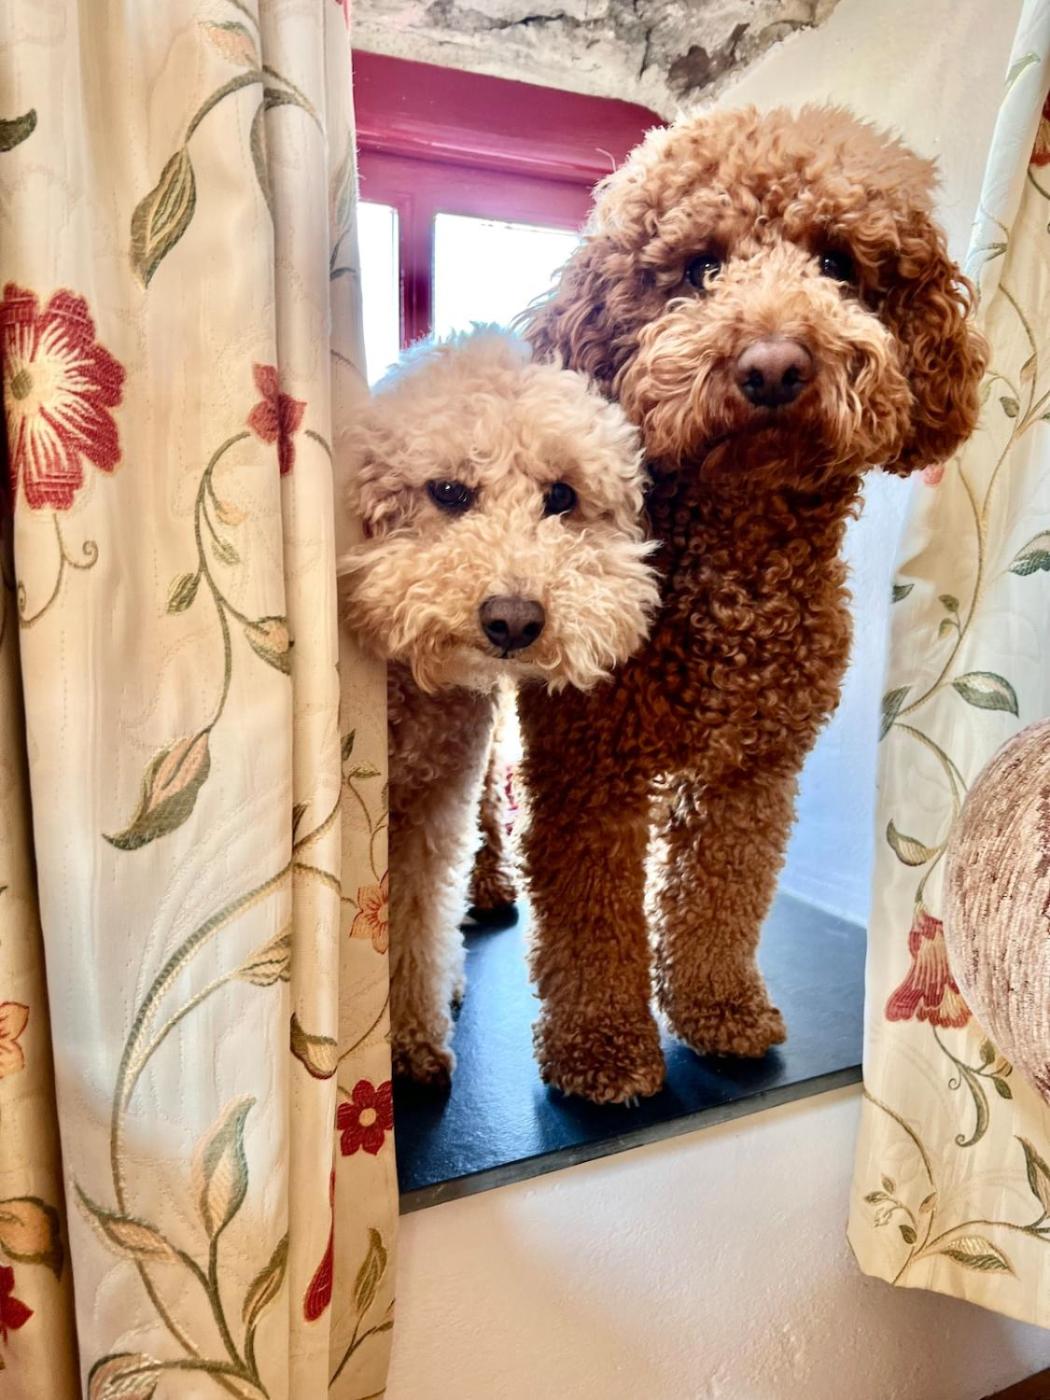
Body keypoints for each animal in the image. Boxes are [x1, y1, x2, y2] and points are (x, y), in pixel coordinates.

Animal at [339, 329, 659, 1085]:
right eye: (448, 491)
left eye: (562, 496)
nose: (513, 620)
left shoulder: (436, 800)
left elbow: (419, 915)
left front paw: (409, 1036)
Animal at [507, 104, 986, 1103]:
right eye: (700, 268)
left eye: (838, 262)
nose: (773, 365)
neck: (736, 558)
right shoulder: (584, 763)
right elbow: (590, 916)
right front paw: (600, 1047)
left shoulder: (755, 767)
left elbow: (720, 893)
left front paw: (717, 1011)